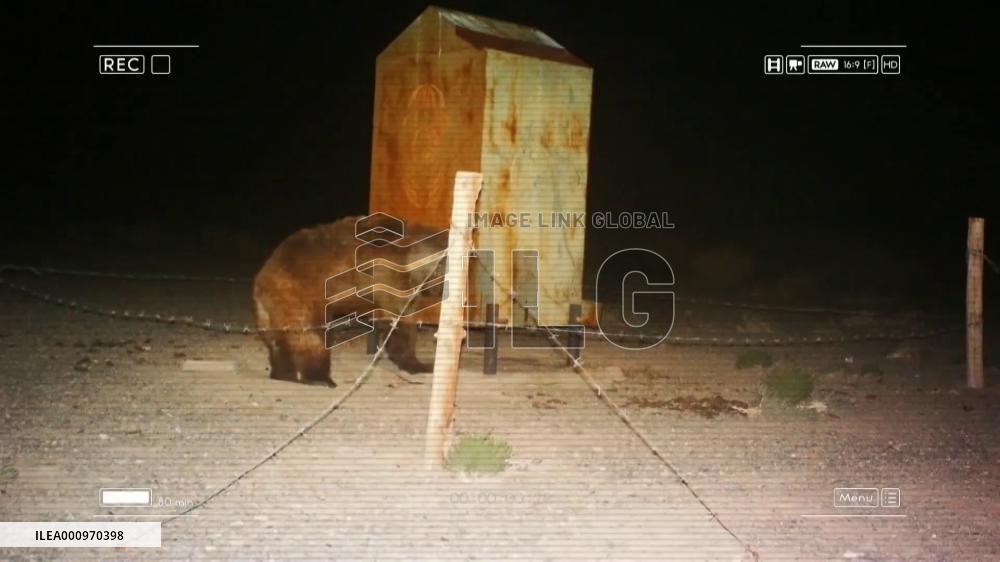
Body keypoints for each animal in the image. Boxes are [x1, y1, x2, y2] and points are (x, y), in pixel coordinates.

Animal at [253, 216, 447, 386]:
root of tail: (262, 276)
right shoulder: (389, 276)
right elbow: (398, 322)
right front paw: (419, 364)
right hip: (300, 294)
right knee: (311, 336)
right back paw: (321, 379)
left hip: (271, 308)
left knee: (278, 339)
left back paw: (282, 373)